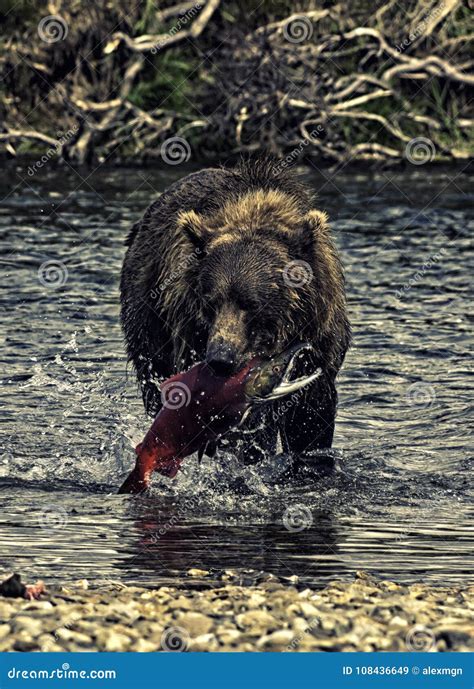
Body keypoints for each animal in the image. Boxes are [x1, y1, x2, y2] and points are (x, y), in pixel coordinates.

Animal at [120, 157, 350, 468]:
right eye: (210, 301)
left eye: (252, 303)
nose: (220, 359)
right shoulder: (190, 334)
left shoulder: (319, 342)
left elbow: (310, 420)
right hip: (148, 323)